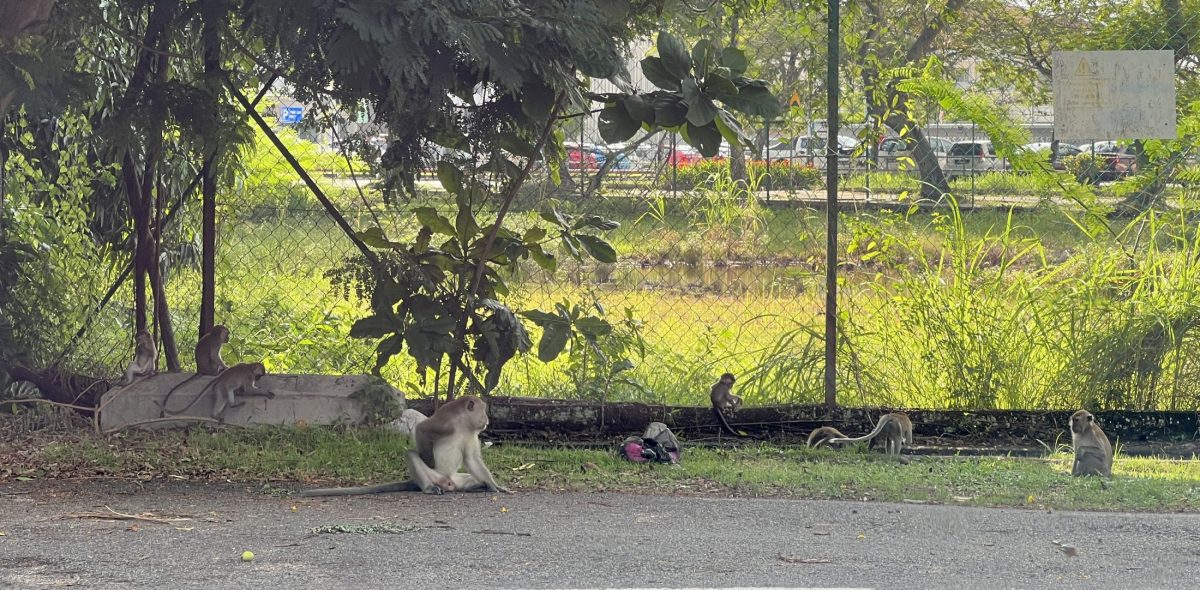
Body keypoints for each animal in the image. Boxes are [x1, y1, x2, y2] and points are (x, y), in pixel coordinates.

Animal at [300, 395, 511, 498]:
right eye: (483, 411)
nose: (487, 420)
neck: (463, 423)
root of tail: (448, 482)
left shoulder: (471, 434)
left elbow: (472, 460)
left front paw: (494, 486)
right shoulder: (445, 422)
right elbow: (421, 429)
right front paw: (428, 459)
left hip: (457, 480)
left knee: (470, 478)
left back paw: (480, 485)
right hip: (436, 477)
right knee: (411, 455)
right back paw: (428, 488)